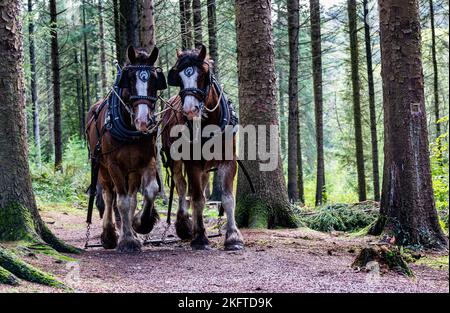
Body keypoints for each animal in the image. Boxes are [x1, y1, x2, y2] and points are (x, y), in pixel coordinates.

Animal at [86, 45, 167, 251]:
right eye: (129, 79)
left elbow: (149, 191)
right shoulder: (114, 165)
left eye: (154, 80)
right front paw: (127, 240)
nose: (143, 121)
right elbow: (121, 202)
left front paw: (141, 224)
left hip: (131, 171)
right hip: (102, 166)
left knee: (131, 198)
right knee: (108, 195)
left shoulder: (146, 161)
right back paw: (109, 235)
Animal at [162, 44, 244, 250]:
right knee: (182, 187)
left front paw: (233, 237)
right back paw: (184, 225)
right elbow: (197, 198)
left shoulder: (228, 161)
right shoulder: (192, 163)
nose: (189, 110)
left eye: (204, 74)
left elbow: (228, 198)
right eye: (178, 77)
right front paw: (200, 237)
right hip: (175, 160)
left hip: (206, 167)